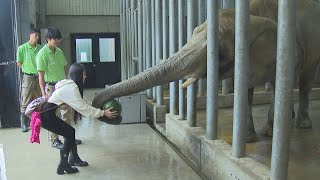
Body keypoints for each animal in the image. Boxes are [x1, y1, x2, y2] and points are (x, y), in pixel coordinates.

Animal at [92, 0, 320, 143]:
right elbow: (245, 90)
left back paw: (301, 124)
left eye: (220, 53)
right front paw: (248, 140)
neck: (251, 15)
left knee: (305, 83)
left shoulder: (290, 50)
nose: (113, 112)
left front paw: (268, 134)